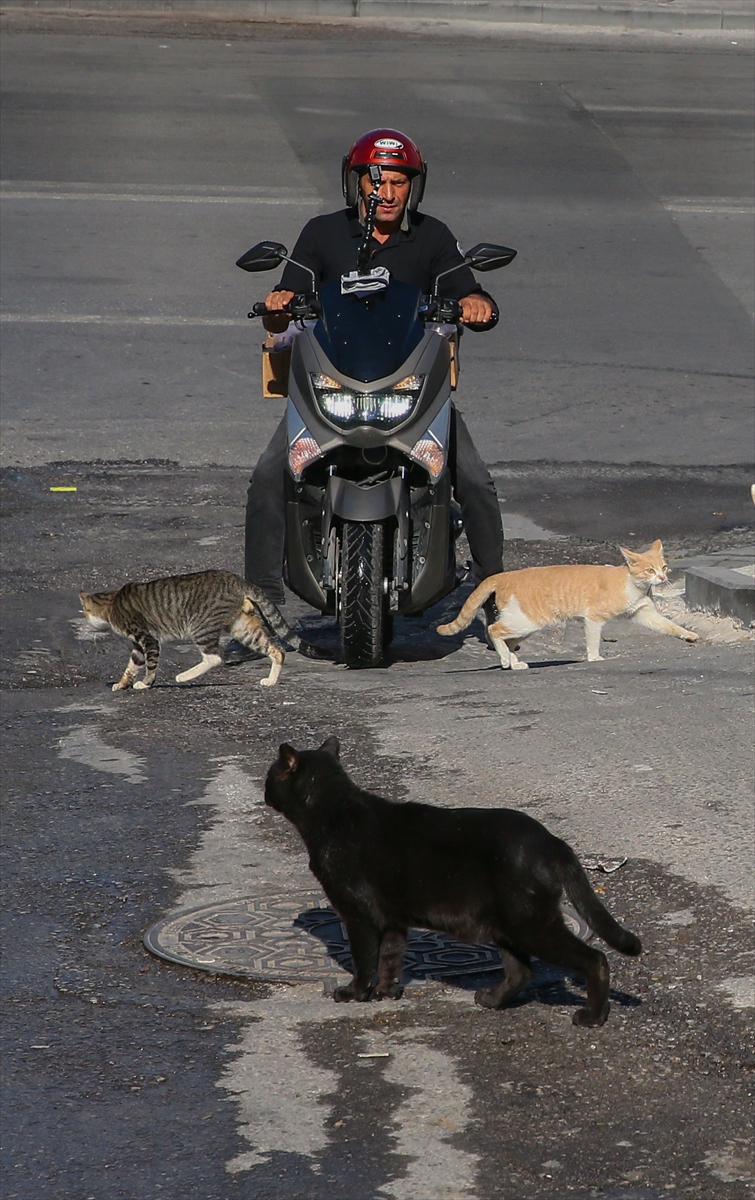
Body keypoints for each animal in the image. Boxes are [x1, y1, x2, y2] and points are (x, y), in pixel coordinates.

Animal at [81, 568, 331, 691]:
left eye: (84, 610)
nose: (83, 617)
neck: (112, 601)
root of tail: (238, 581)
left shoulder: (147, 638)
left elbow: (150, 666)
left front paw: (145, 683)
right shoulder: (137, 645)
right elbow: (131, 665)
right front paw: (122, 683)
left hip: (200, 625)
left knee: (214, 658)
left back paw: (183, 676)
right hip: (243, 627)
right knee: (277, 650)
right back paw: (271, 680)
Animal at [436, 542, 696, 672]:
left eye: (664, 567)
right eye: (650, 570)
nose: (662, 578)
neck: (633, 584)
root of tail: (503, 575)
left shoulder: (645, 613)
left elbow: (669, 626)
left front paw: (690, 635)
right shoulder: (593, 618)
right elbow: (593, 640)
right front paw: (594, 658)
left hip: (524, 626)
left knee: (507, 640)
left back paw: (513, 663)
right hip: (524, 622)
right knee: (493, 631)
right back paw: (504, 660)